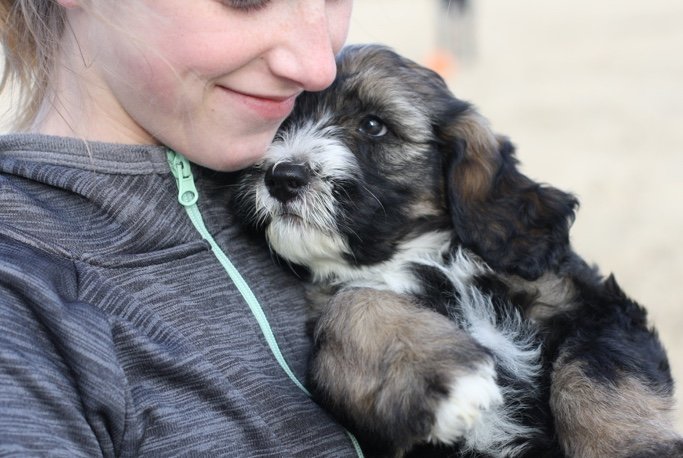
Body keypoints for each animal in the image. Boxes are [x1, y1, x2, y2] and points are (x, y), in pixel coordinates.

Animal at [233, 44, 682, 457]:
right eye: (282, 122)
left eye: (373, 125)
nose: (283, 177)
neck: (416, 255)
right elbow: (356, 303)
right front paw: (438, 375)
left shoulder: (594, 303)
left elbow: (599, 373)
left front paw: (630, 446)